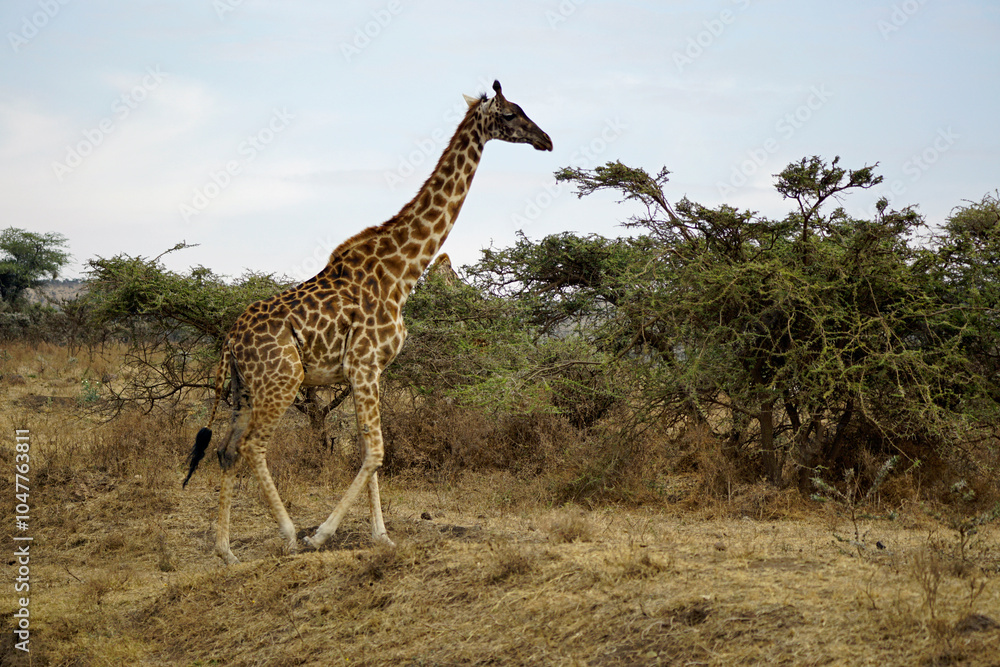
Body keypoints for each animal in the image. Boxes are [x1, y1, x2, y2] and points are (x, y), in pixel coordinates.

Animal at [183, 80, 552, 564]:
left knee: (226, 451)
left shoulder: (372, 369)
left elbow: (368, 449)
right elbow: (376, 451)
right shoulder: (361, 364)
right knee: (252, 447)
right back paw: (290, 534)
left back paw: (226, 551)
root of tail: (229, 340)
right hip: (282, 379)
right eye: (510, 114)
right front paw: (322, 534)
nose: (545, 140)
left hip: (244, 388)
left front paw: (381, 535)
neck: (400, 273)